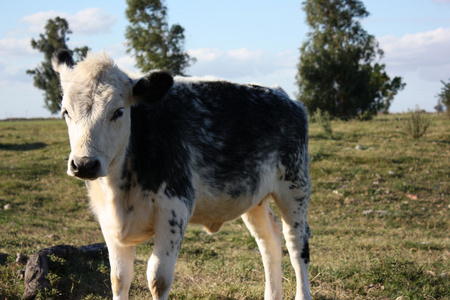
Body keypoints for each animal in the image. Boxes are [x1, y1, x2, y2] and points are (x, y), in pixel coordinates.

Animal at [52, 49, 312, 300]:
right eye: (65, 112)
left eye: (118, 111)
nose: (84, 164)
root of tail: (283, 96)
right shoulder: (108, 221)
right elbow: (119, 278)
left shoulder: (174, 208)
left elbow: (158, 279)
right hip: (253, 197)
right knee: (269, 241)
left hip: (295, 186)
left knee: (297, 245)